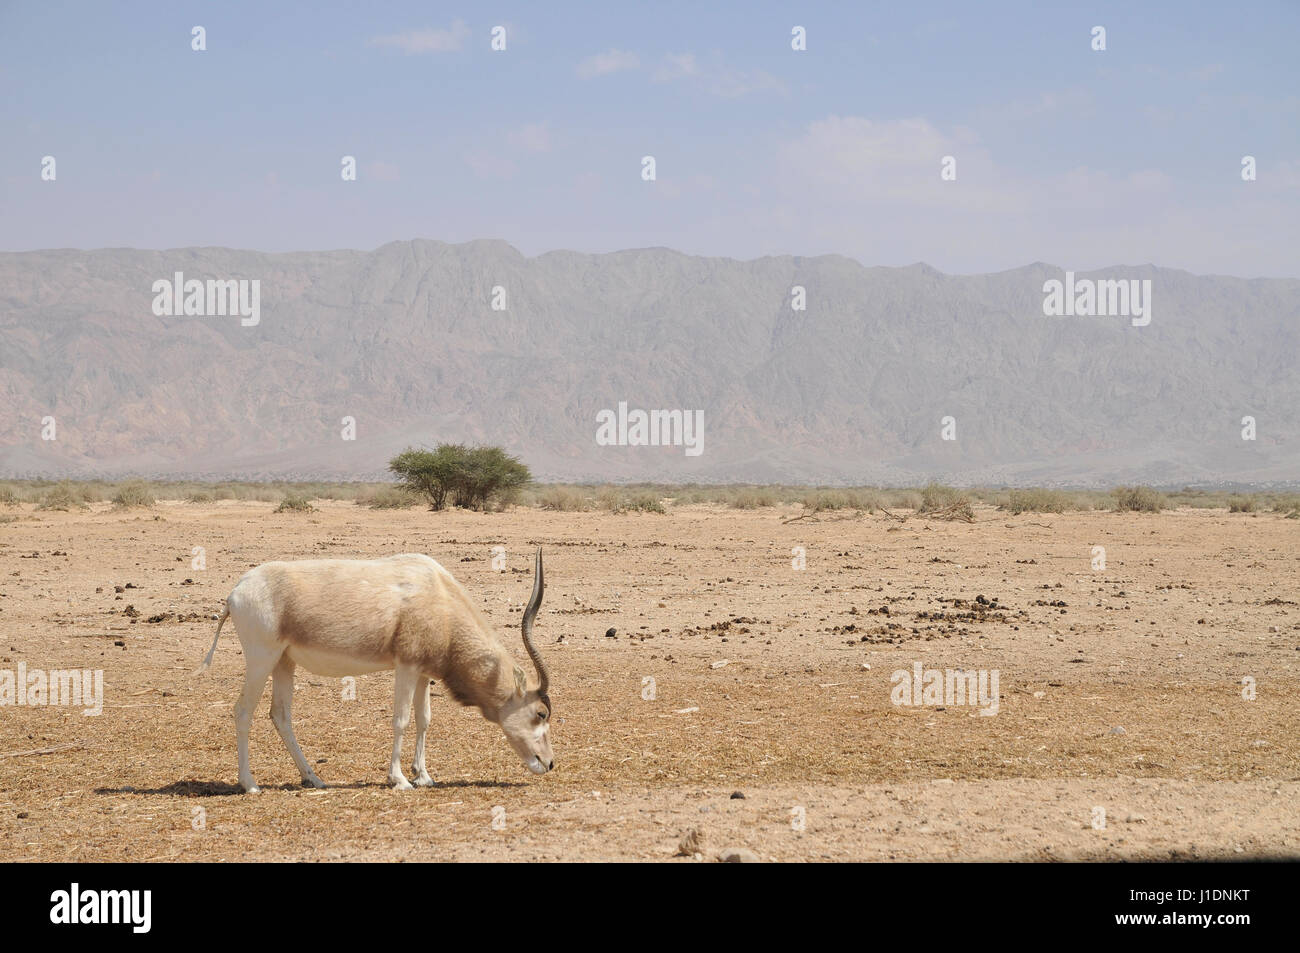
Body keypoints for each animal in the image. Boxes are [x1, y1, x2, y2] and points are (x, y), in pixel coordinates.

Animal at [196, 543, 553, 790]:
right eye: (541, 713)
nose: (548, 763)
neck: (440, 598)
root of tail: (235, 592)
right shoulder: (406, 666)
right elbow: (401, 720)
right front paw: (400, 779)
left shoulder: (422, 672)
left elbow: (424, 719)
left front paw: (424, 775)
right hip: (262, 657)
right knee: (243, 711)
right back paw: (250, 784)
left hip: (284, 661)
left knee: (280, 715)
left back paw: (314, 779)